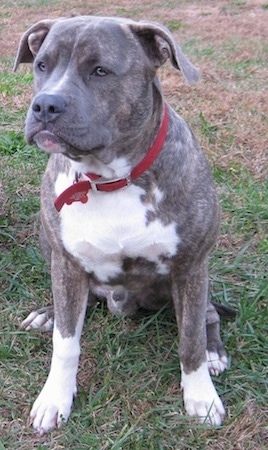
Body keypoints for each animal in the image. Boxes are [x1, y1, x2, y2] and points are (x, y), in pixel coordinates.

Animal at [14, 16, 228, 436]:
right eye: (42, 65)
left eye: (100, 71)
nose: (45, 104)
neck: (110, 179)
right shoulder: (66, 265)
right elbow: (66, 344)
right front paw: (55, 399)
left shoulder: (191, 265)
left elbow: (190, 340)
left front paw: (201, 397)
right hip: (50, 245)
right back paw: (49, 313)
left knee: (207, 316)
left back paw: (215, 351)